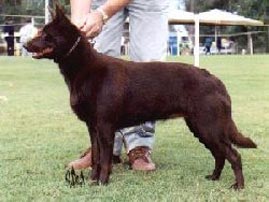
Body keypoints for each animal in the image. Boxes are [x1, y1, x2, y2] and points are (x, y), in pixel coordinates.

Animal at [24, 5, 255, 189]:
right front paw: (92, 180)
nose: (25, 45)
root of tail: (216, 80)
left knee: (233, 155)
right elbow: (96, 157)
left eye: (44, 34)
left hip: (209, 127)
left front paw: (103, 182)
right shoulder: (93, 128)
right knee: (220, 154)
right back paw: (214, 177)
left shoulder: (105, 127)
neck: (83, 68)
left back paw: (238, 186)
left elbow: (105, 159)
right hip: (201, 127)